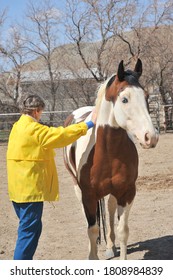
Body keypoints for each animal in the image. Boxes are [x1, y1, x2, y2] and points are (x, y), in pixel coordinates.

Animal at [63, 59, 158, 260]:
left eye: (146, 96)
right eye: (125, 99)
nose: (151, 137)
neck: (106, 152)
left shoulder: (127, 192)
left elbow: (123, 230)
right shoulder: (88, 195)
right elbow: (92, 229)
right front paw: (92, 256)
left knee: (110, 207)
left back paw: (110, 246)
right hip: (78, 189)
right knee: (90, 223)